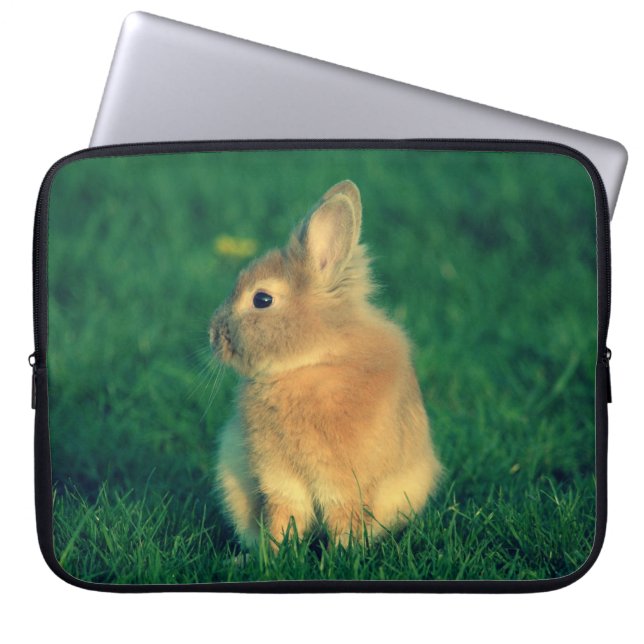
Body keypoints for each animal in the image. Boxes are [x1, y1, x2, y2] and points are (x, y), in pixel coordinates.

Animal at [210, 180, 442, 548]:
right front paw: (272, 554)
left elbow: (341, 519)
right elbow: (283, 515)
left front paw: (343, 554)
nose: (213, 334)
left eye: (262, 299)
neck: (310, 363)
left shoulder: (344, 483)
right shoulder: (280, 480)